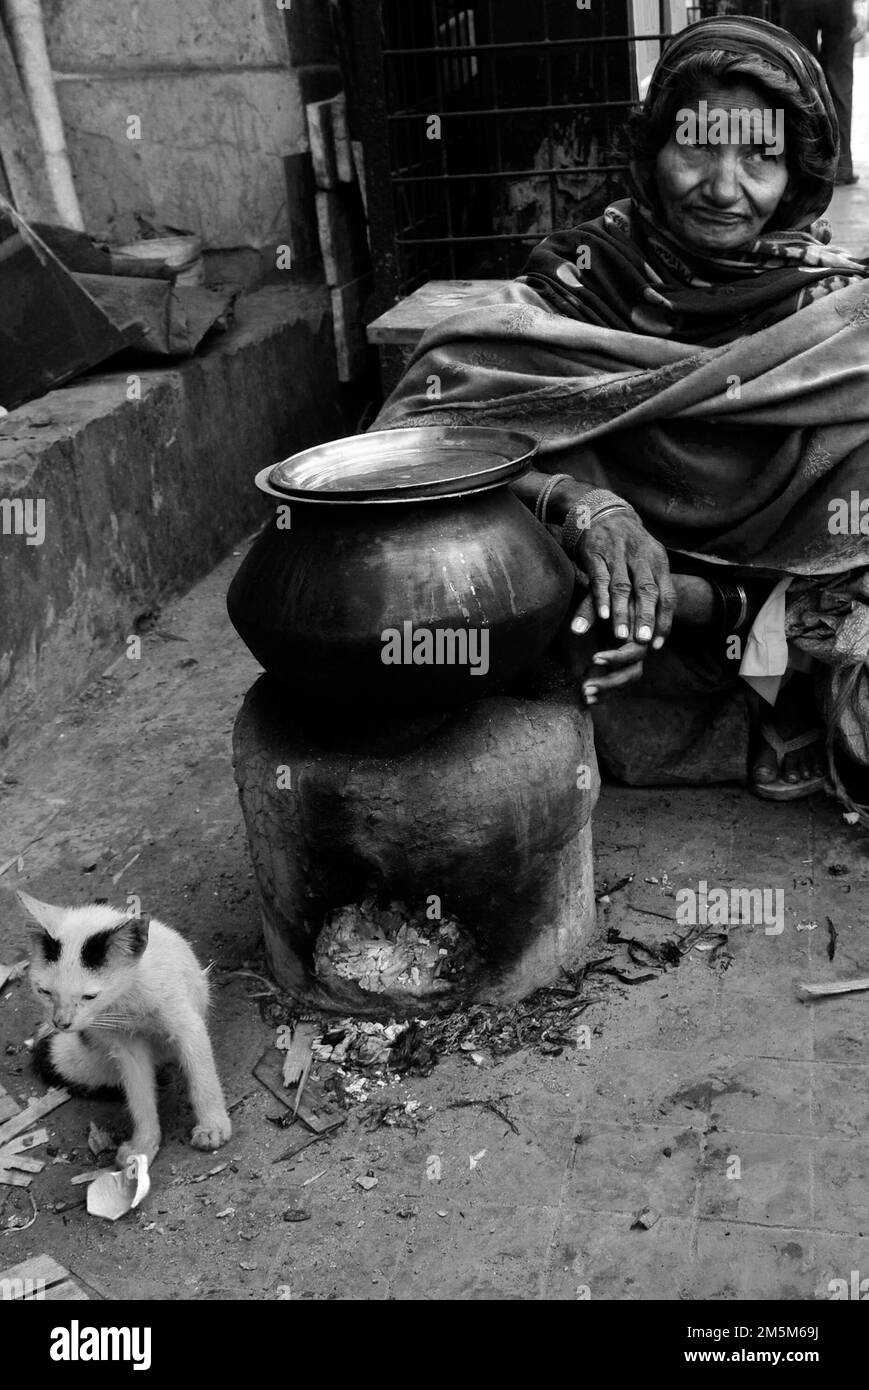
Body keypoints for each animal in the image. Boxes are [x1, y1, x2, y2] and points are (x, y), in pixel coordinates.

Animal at [20, 884, 230, 1167]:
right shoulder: (125, 1047)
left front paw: (212, 1127)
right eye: (44, 992)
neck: (125, 1001)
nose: (61, 1023)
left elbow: (202, 1077)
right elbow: (139, 1095)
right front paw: (143, 1145)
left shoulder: (188, 1025)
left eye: (89, 997)